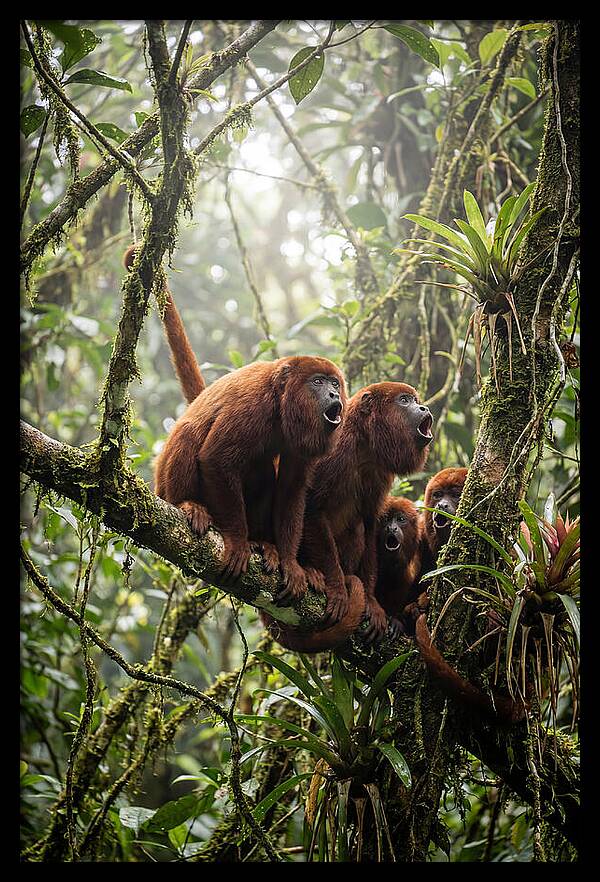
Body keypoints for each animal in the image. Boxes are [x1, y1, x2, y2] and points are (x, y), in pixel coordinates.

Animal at [124, 245, 347, 598]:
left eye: (335, 383)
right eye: (317, 382)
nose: (334, 395)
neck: (281, 403)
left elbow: (291, 489)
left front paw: (289, 563)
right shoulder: (252, 405)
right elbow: (215, 457)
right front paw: (239, 542)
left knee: (264, 472)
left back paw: (264, 545)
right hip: (164, 486)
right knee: (189, 435)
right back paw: (191, 507)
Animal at [262, 383, 434, 651]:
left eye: (416, 400)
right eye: (405, 401)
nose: (424, 407)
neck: (363, 443)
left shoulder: (380, 472)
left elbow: (371, 523)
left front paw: (372, 602)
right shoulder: (334, 448)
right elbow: (311, 508)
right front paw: (337, 587)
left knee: (358, 528)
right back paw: (310, 571)